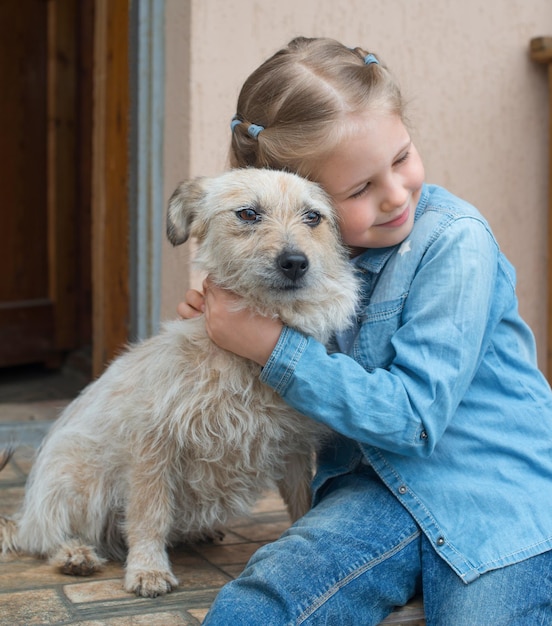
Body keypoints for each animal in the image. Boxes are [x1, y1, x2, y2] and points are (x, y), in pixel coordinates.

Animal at [0, 168, 358, 596]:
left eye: (313, 217)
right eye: (248, 214)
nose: (295, 262)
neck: (248, 362)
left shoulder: (293, 448)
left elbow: (304, 503)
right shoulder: (154, 444)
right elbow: (149, 512)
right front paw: (147, 569)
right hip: (79, 480)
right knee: (45, 536)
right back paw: (74, 554)